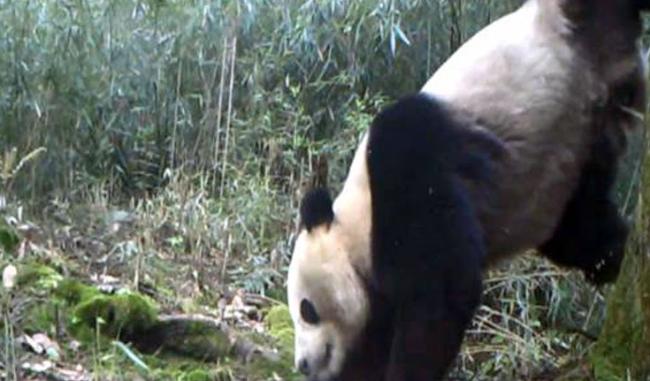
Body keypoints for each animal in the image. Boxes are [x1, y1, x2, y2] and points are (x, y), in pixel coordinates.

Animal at [288, 1, 644, 378]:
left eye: (307, 309)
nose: (303, 364)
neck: (357, 221)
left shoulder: (406, 168)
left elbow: (440, 291)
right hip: (579, 146)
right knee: (579, 227)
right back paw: (613, 255)